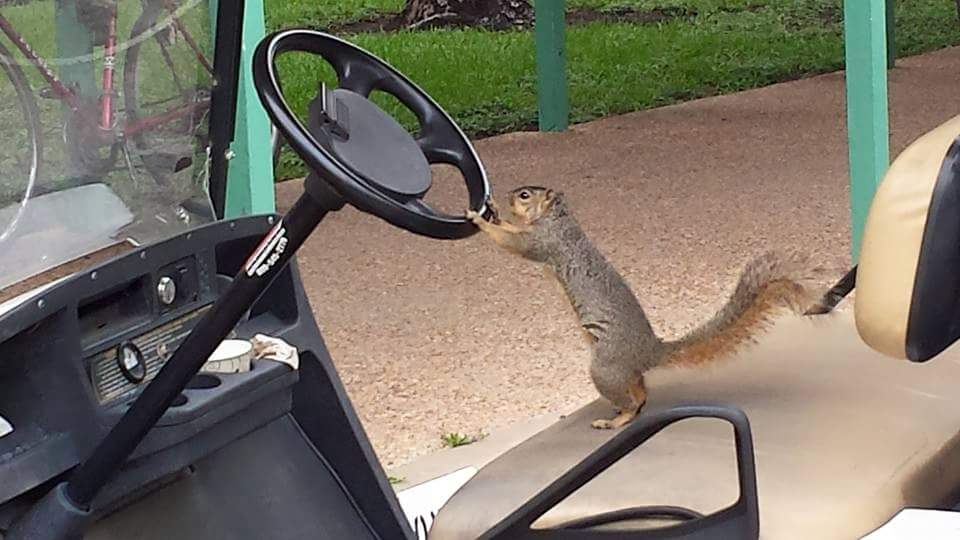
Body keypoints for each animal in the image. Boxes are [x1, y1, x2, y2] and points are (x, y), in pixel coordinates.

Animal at [466, 186, 822, 430]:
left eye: (525, 195)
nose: (507, 196)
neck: (559, 218)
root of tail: (650, 352)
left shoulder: (545, 241)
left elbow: (515, 243)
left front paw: (479, 220)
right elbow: (512, 232)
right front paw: (492, 211)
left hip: (605, 367)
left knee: (631, 401)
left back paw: (615, 420)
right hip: (623, 372)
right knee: (640, 393)